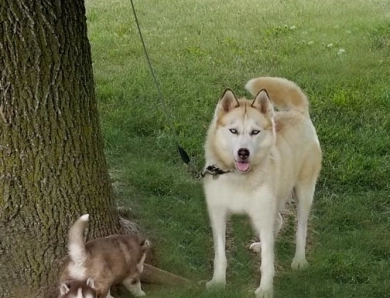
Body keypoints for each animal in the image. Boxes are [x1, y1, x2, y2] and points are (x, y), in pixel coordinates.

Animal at [203, 77, 322, 298]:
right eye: (233, 130)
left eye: (255, 132)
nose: (243, 152)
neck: (238, 177)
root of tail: (298, 111)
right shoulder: (218, 214)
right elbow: (220, 255)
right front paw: (218, 282)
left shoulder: (263, 214)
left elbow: (267, 261)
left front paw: (265, 289)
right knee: (279, 221)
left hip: (303, 193)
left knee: (300, 229)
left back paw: (299, 260)